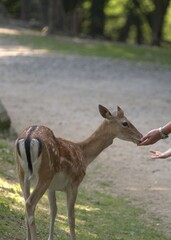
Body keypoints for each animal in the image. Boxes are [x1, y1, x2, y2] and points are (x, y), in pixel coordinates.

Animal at [14, 105, 143, 240]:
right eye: (125, 123)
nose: (140, 136)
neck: (84, 155)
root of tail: (29, 138)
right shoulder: (74, 183)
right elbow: (71, 218)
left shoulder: (52, 187)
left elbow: (53, 211)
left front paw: (50, 237)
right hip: (45, 174)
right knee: (30, 204)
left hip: (22, 173)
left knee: (26, 204)